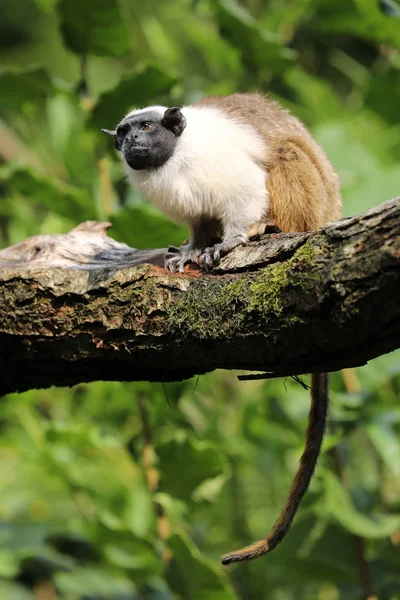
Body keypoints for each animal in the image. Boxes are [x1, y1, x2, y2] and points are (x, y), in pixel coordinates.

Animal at [102, 92, 340, 564]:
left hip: (313, 205)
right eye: (124, 132)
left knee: (284, 154)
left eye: (146, 128)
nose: (132, 142)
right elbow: (197, 220)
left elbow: (245, 193)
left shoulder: (216, 166)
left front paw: (231, 240)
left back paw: (272, 227)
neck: (173, 162)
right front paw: (192, 249)